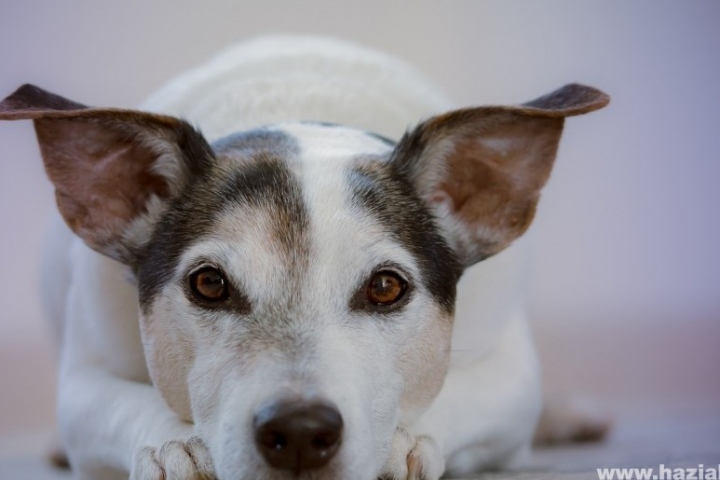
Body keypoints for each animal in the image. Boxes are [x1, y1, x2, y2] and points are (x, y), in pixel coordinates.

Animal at [0, 37, 608, 480]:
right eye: (208, 284)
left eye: (386, 287)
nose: (297, 431)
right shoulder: (84, 380)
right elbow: (120, 404)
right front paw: (177, 444)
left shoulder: (511, 373)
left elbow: (459, 396)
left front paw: (402, 442)